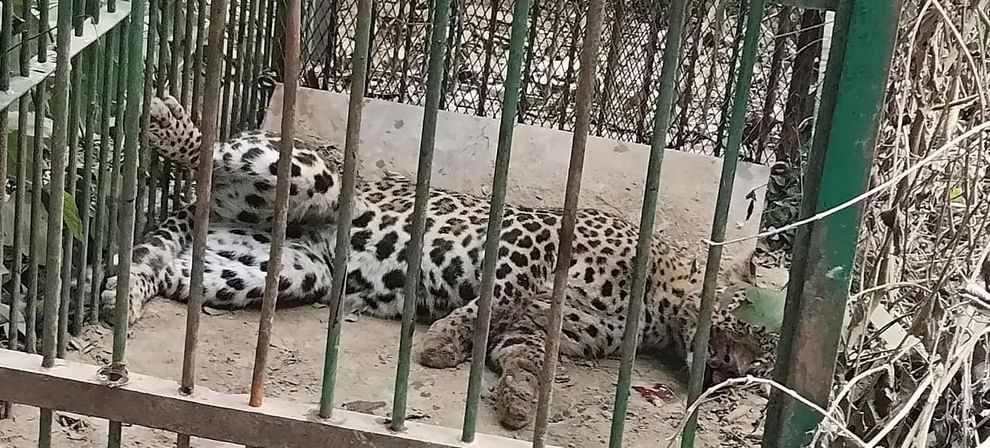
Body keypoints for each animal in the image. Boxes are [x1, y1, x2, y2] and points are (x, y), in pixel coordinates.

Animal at [102, 95, 784, 430]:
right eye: (750, 327)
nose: (739, 371)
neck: (659, 300)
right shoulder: (528, 242)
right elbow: (494, 294)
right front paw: (443, 342)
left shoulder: (547, 321)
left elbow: (523, 350)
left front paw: (518, 399)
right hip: (304, 171)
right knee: (211, 153)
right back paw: (166, 123)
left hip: (275, 267)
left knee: (171, 271)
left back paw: (121, 299)